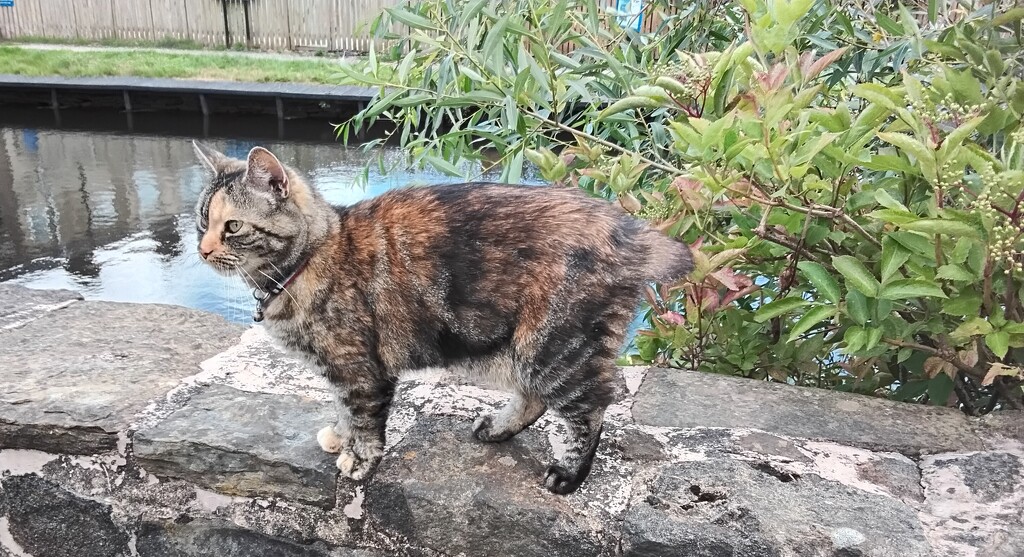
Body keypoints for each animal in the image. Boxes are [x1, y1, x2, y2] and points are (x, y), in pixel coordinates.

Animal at [191, 141, 692, 493]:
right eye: (201, 220)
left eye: (232, 227)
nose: (202, 250)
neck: (309, 258)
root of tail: (629, 229)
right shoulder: (339, 369)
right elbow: (341, 407)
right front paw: (339, 434)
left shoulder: (360, 367)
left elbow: (364, 420)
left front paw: (358, 459)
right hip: (518, 349)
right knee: (535, 398)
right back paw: (497, 429)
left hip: (554, 346)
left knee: (591, 406)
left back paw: (569, 474)